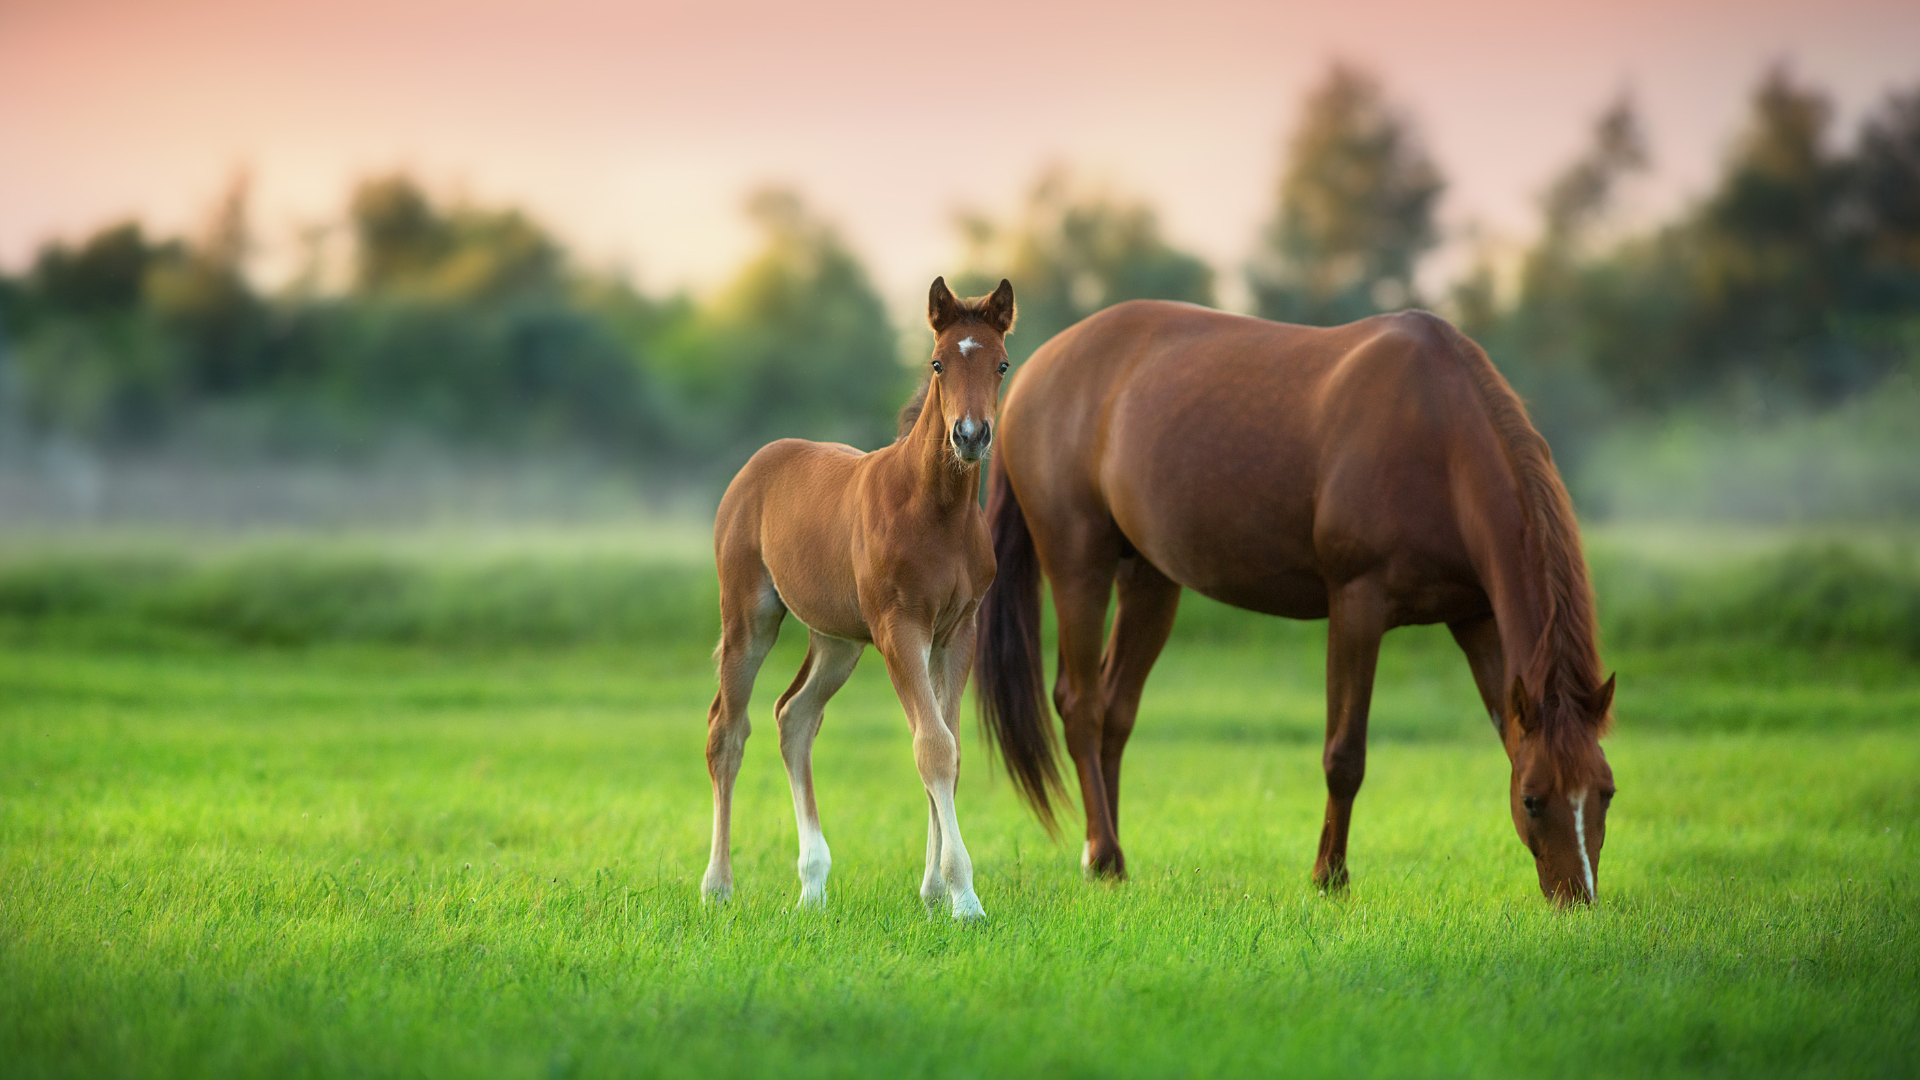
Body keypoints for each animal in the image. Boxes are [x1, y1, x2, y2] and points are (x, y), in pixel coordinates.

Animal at [700, 276, 1017, 919]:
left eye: (1000, 363)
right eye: (938, 362)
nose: (970, 436)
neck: (935, 512)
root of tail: (757, 462)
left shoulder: (957, 632)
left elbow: (949, 749)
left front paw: (934, 891)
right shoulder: (900, 628)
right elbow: (932, 747)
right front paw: (965, 898)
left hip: (837, 640)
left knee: (794, 717)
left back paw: (813, 885)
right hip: (749, 615)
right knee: (728, 730)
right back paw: (718, 886)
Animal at [974, 301, 1616, 904]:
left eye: (1606, 793)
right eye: (1532, 800)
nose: (1576, 898)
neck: (1440, 438)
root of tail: (1031, 371)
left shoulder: (1476, 619)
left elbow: (1504, 733)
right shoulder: (1358, 604)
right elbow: (1345, 755)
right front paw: (1329, 877)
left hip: (1150, 579)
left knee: (1115, 708)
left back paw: (1106, 857)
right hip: (1078, 563)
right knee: (1081, 705)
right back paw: (1104, 853)